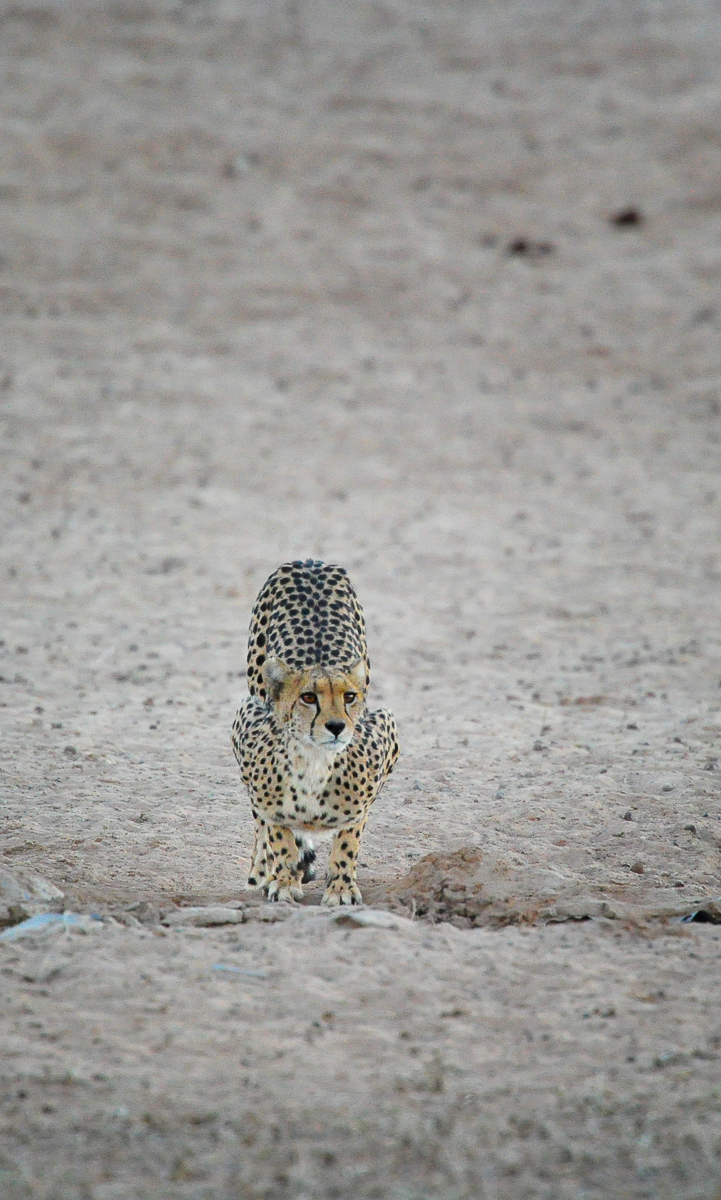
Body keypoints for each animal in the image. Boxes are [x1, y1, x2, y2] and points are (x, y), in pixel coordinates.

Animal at [231, 560, 399, 906]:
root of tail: (310, 561)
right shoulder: (245, 726)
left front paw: (341, 887)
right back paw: (264, 869)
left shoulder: (385, 731)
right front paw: (282, 880)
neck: (314, 760)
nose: (336, 726)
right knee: (259, 822)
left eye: (349, 697)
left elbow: (349, 837)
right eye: (308, 697)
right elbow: (276, 828)